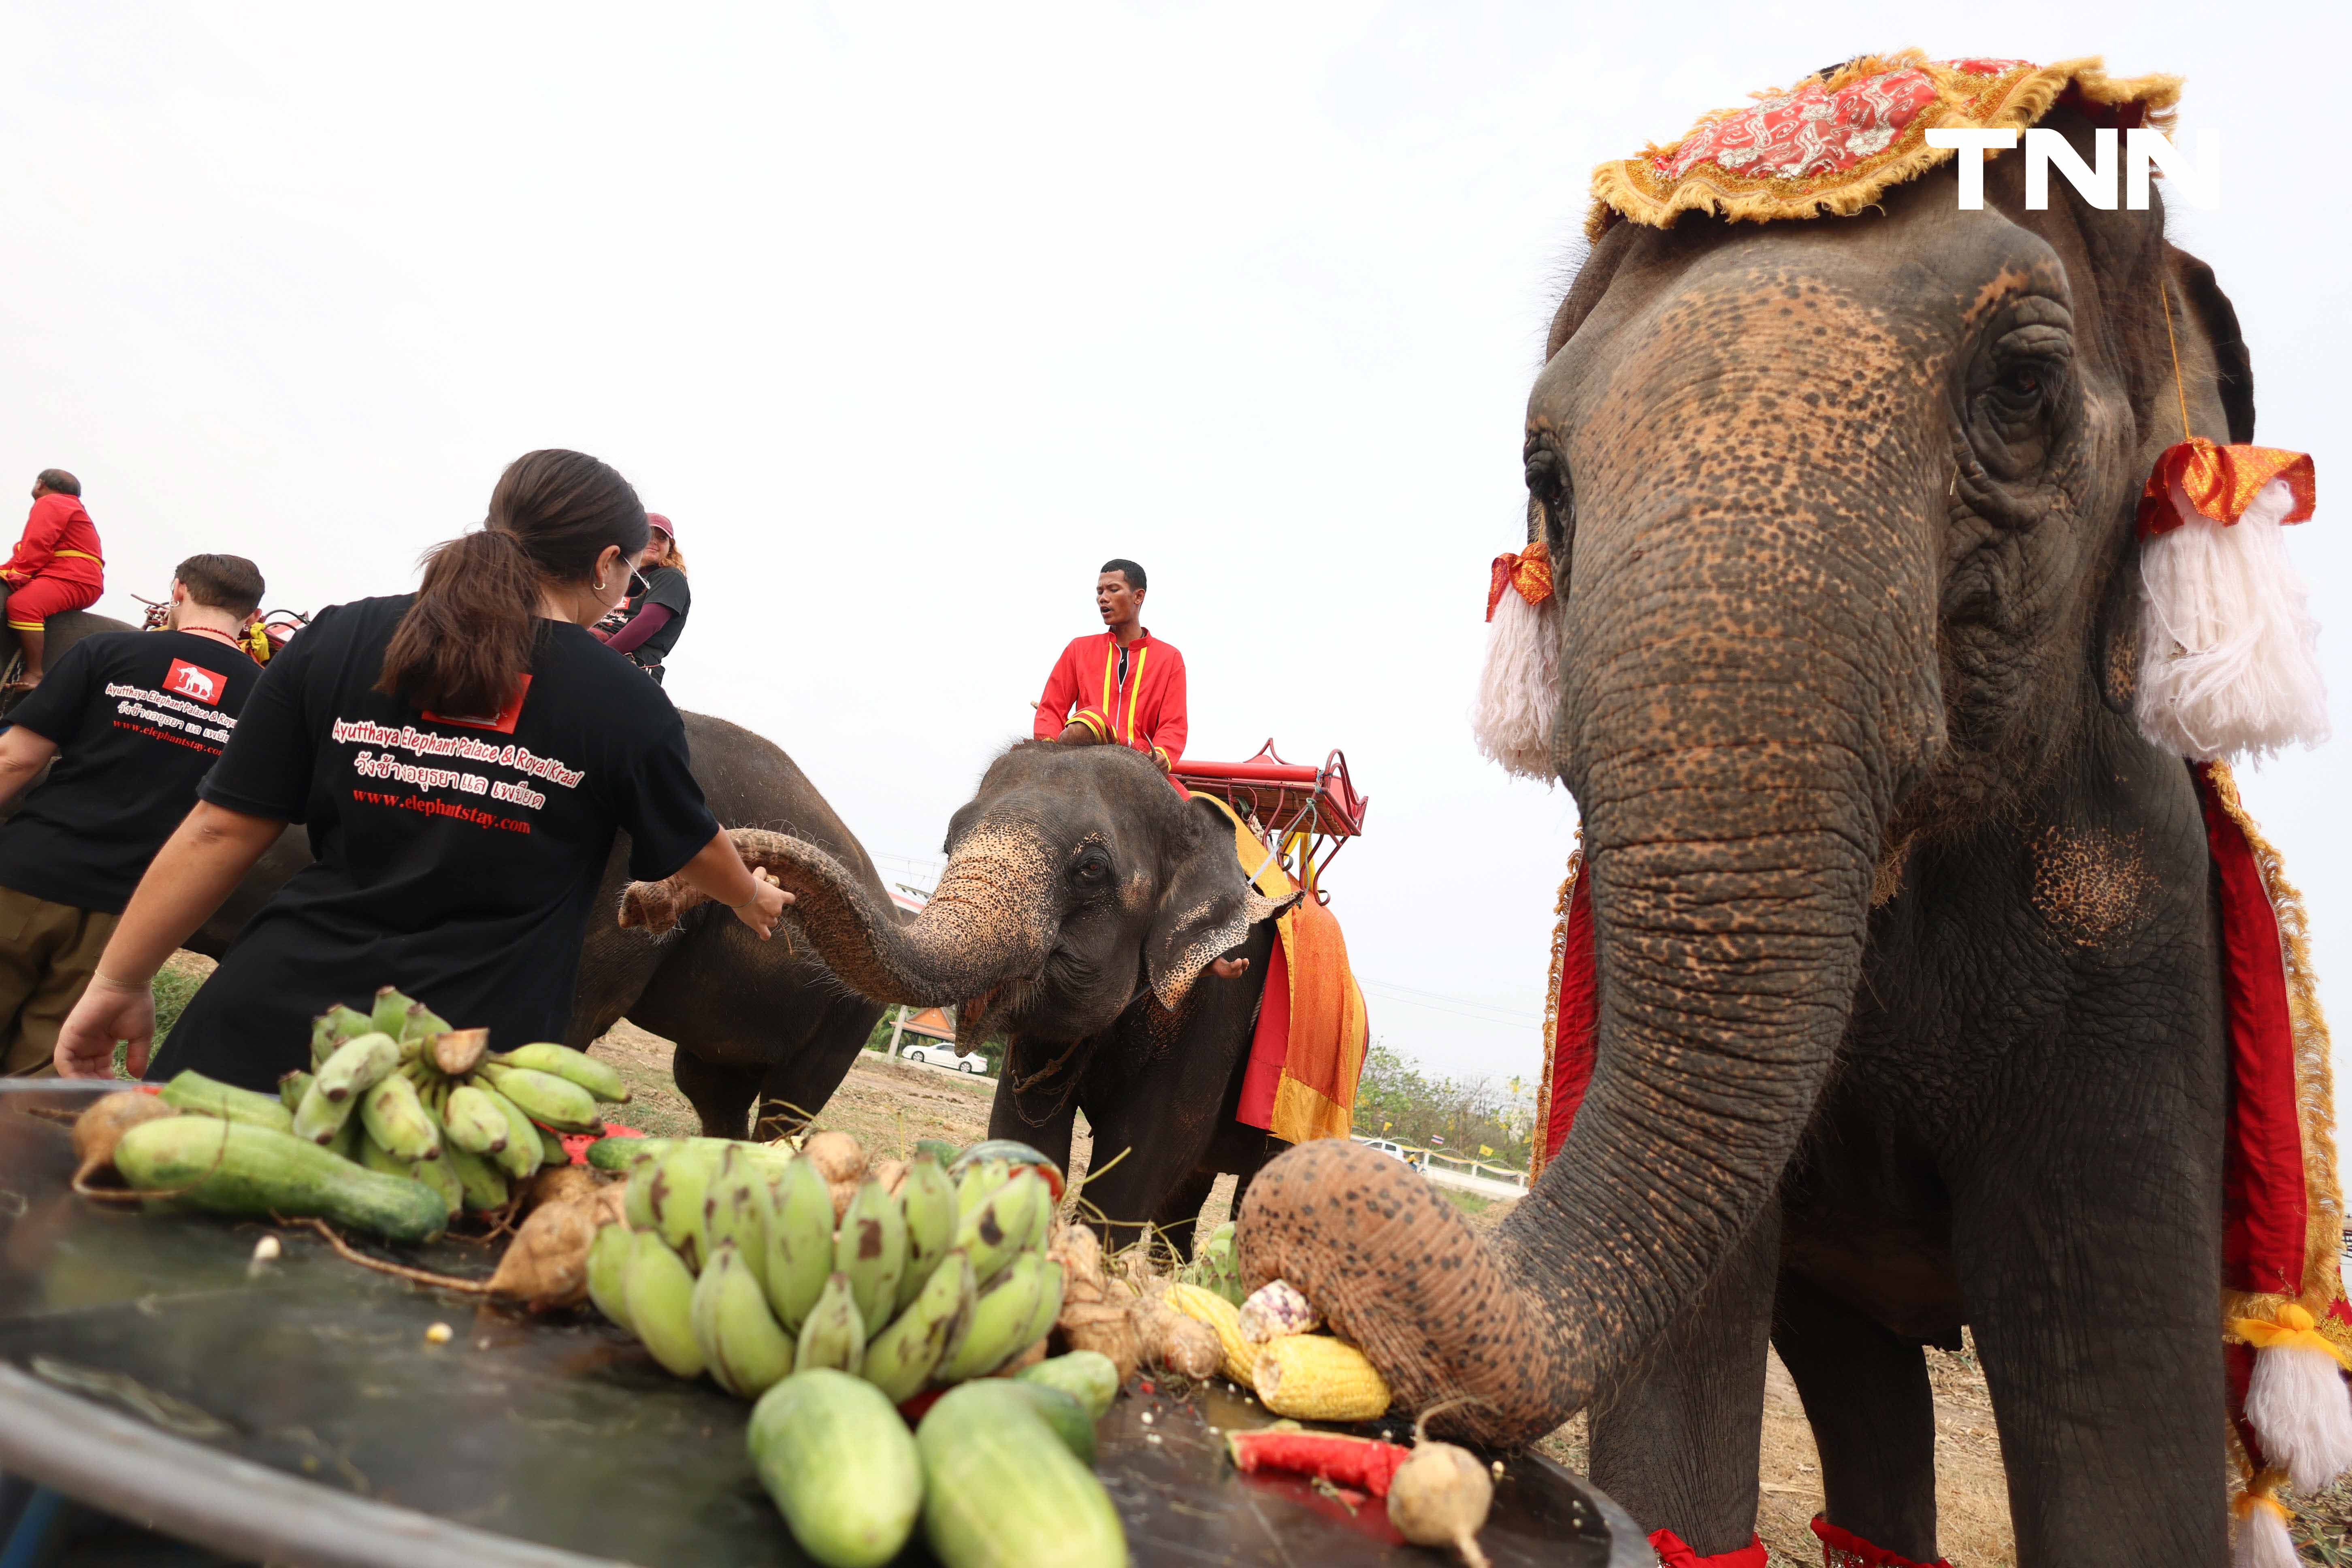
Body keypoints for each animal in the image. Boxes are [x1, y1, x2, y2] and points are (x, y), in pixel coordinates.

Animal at [625, 748, 1298, 1251]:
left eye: (1091, 869)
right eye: (950, 844)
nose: (640, 901)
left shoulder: (1220, 996)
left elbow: (1148, 1147)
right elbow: (1027, 1128)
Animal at [1242, 101, 2267, 1568]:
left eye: (2023, 389)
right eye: (1543, 473)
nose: (1304, 1213)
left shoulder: (2138, 930)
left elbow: (2117, 1402)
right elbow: (1691, 1356)